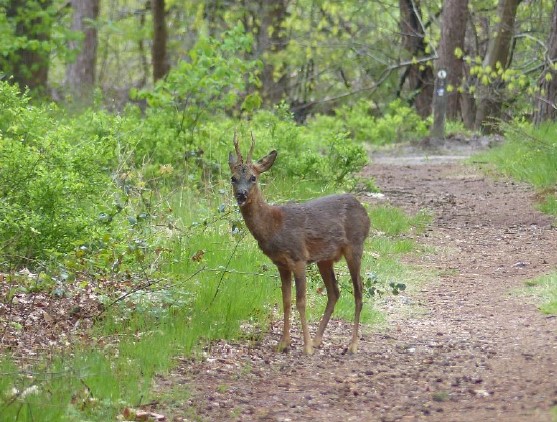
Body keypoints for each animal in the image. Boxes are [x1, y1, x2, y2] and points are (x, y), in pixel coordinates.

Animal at [227, 134, 370, 354]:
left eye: (253, 177)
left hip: (355, 246)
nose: (241, 194)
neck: (273, 226)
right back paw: (319, 339)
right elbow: (286, 301)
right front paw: (283, 343)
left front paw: (306, 347)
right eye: (233, 178)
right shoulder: (281, 264)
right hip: (325, 258)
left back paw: (352, 344)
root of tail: (365, 213)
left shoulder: (298, 257)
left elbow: (301, 301)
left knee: (358, 290)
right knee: (334, 292)